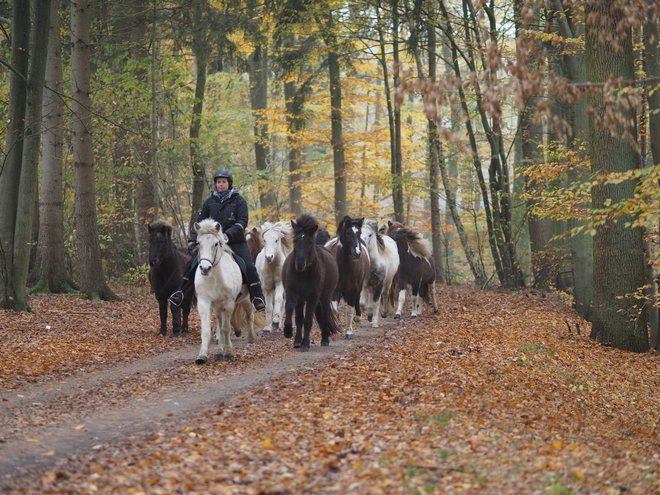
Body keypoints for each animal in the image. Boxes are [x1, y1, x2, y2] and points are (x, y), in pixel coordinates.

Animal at [193, 220, 258, 364]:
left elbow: (226, 328)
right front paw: (203, 355)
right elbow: (208, 329)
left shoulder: (228, 303)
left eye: (216, 244)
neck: (214, 277)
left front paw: (228, 354)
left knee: (249, 315)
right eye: (198, 243)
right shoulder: (205, 302)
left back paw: (251, 338)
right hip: (219, 306)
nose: (205, 268)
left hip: (245, 299)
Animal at [282, 215, 340, 350]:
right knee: (299, 318)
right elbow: (291, 310)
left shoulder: (313, 297)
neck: (303, 273)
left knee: (324, 316)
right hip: (301, 299)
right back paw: (297, 341)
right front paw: (288, 332)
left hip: (325, 298)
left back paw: (324, 340)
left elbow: (308, 320)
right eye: (295, 241)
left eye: (309, 242)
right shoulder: (292, 292)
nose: (299, 264)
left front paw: (305, 344)